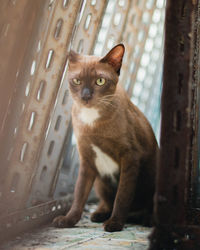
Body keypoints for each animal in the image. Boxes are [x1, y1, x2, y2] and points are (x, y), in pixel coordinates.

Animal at [52, 43, 159, 232]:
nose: (86, 96)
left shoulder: (130, 157)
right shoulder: (87, 160)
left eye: (100, 81)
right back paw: (99, 214)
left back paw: (147, 219)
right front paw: (68, 221)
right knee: (106, 201)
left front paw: (115, 224)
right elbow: (79, 195)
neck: (92, 120)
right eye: (77, 81)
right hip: (100, 182)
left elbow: (122, 196)